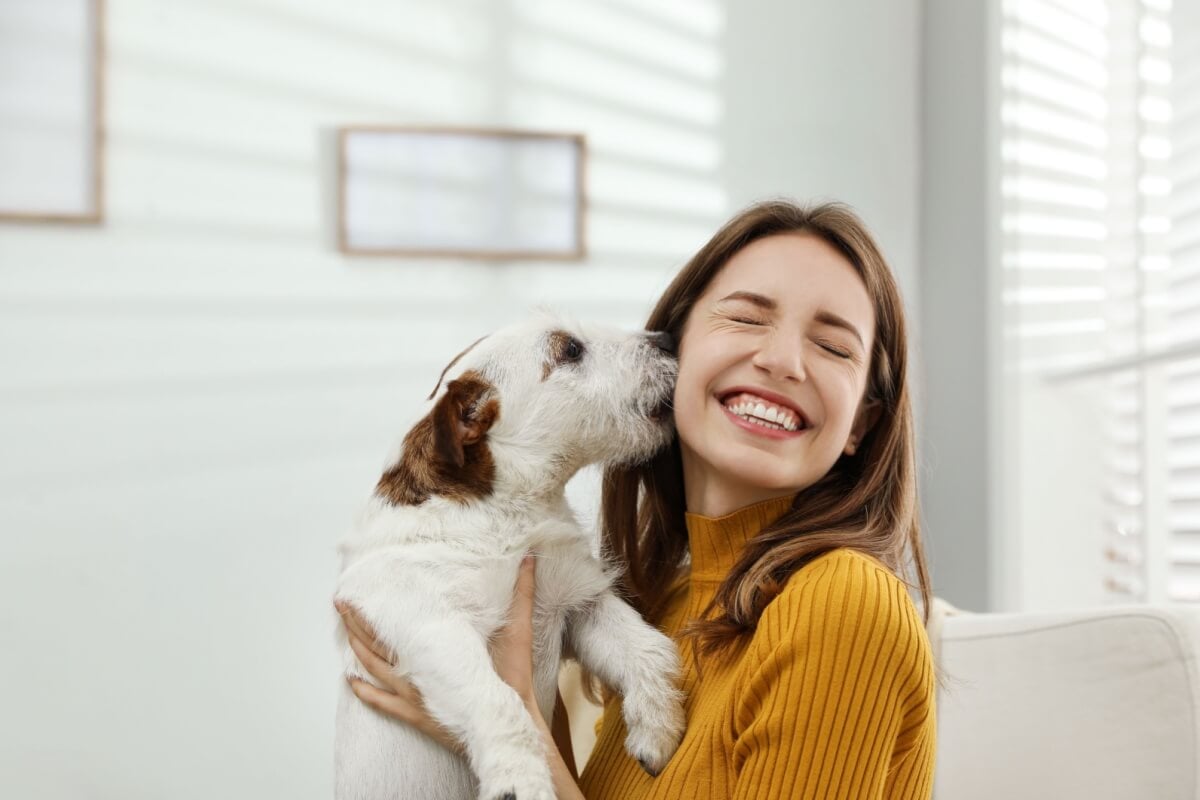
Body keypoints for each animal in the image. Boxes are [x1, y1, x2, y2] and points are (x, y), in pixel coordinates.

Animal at [333, 311, 691, 800]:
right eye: (570, 349)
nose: (669, 339)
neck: (508, 515)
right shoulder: (428, 622)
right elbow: (498, 700)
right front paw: (519, 779)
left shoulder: (579, 604)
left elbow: (649, 649)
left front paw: (657, 728)